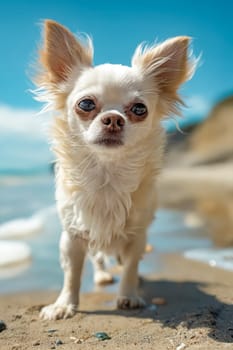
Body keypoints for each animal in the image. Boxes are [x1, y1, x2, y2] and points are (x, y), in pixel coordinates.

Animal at [32, 19, 196, 320]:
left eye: (140, 109)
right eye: (86, 104)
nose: (113, 119)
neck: (106, 174)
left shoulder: (137, 234)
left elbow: (130, 266)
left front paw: (128, 296)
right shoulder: (72, 235)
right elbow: (72, 273)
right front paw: (64, 304)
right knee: (97, 257)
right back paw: (101, 276)